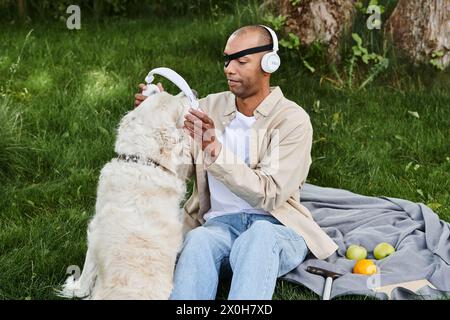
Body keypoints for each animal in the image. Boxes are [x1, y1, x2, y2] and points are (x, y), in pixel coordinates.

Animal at [58, 90, 193, 300]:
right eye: (177, 102)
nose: (193, 92)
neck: (143, 162)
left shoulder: (94, 233)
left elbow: (87, 272)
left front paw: (74, 287)